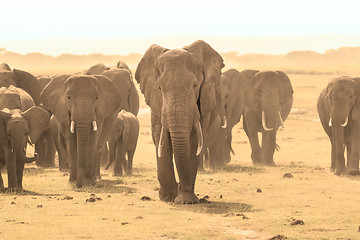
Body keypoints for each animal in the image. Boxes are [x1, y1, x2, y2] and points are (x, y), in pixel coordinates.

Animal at [136, 40, 224, 203]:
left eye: (195, 85)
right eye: (160, 88)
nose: (181, 187)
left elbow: (195, 140)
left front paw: (186, 200)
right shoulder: (156, 102)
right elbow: (160, 136)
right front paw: (168, 197)